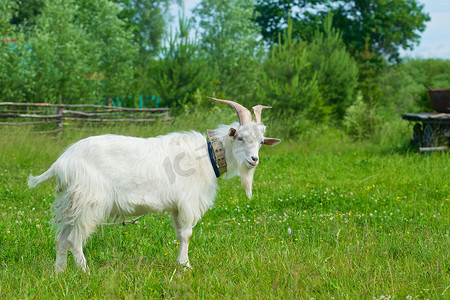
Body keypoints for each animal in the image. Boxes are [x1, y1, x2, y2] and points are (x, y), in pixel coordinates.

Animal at [27, 98, 278, 272]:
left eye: (261, 142)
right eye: (240, 138)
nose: (254, 159)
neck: (207, 157)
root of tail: (62, 162)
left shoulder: (177, 206)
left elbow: (179, 234)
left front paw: (181, 263)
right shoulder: (188, 202)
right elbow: (187, 234)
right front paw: (185, 266)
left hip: (73, 202)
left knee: (61, 238)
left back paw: (59, 272)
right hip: (89, 201)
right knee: (74, 239)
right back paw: (85, 271)